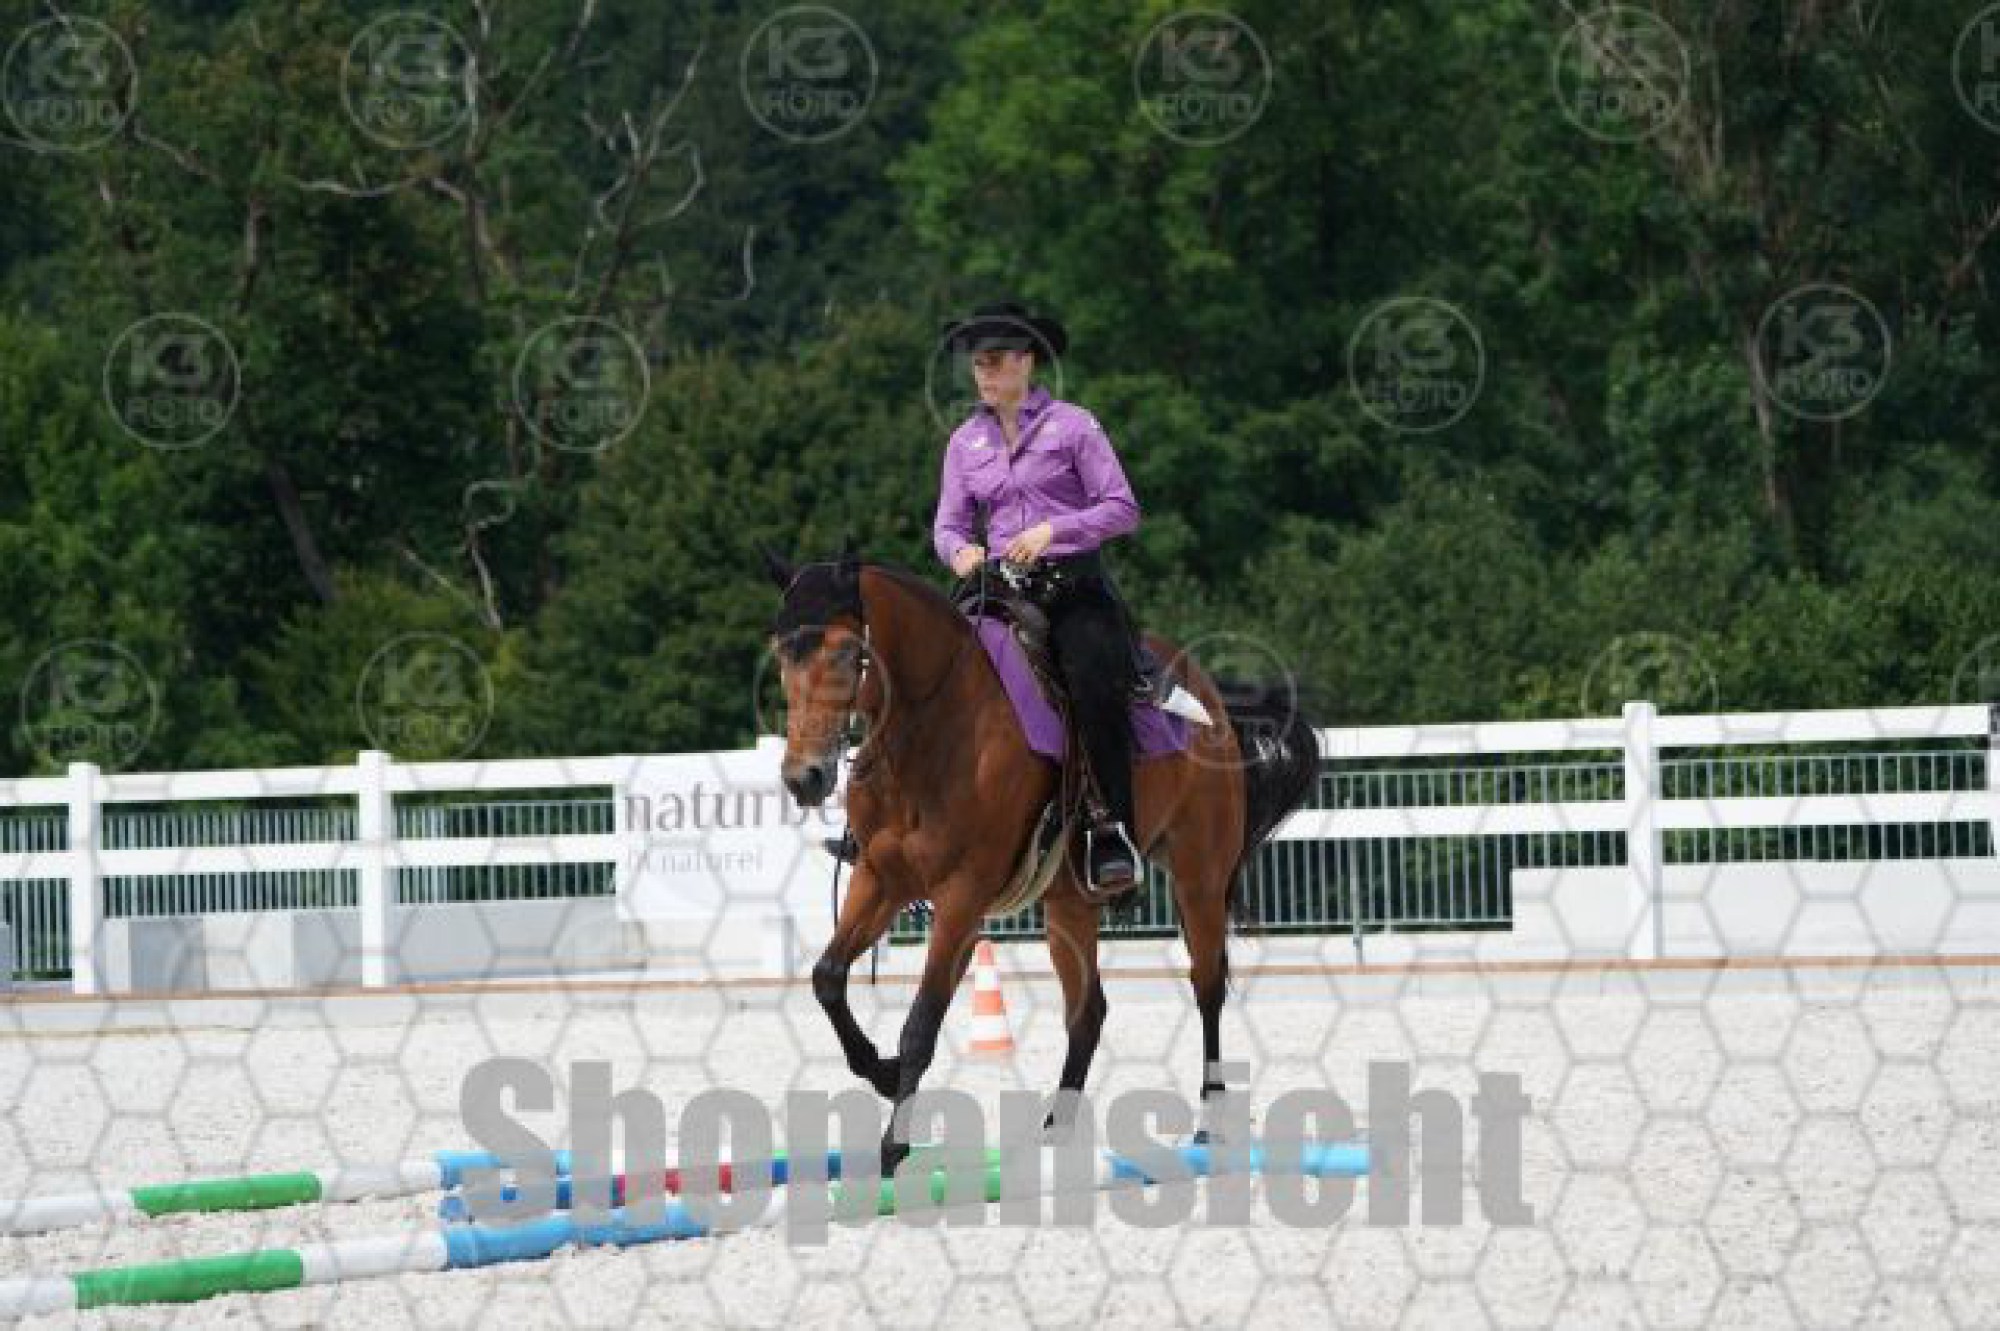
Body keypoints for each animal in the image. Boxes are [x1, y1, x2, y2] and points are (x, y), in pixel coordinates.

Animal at [760, 544, 1320, 1173]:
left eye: (846, 651)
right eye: (781, 651)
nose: (804, 777)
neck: (936, 730)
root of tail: (1213, 698)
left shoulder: (962, 898)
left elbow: (922, 1023)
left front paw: (892, 1147)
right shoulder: (880, 881)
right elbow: (827, 979)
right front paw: (879, 1071)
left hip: (1198, 878)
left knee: (1208, 987)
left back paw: (1207, 1125)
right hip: (1069, 903)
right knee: (1089, 1011)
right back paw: (1055, 1133)